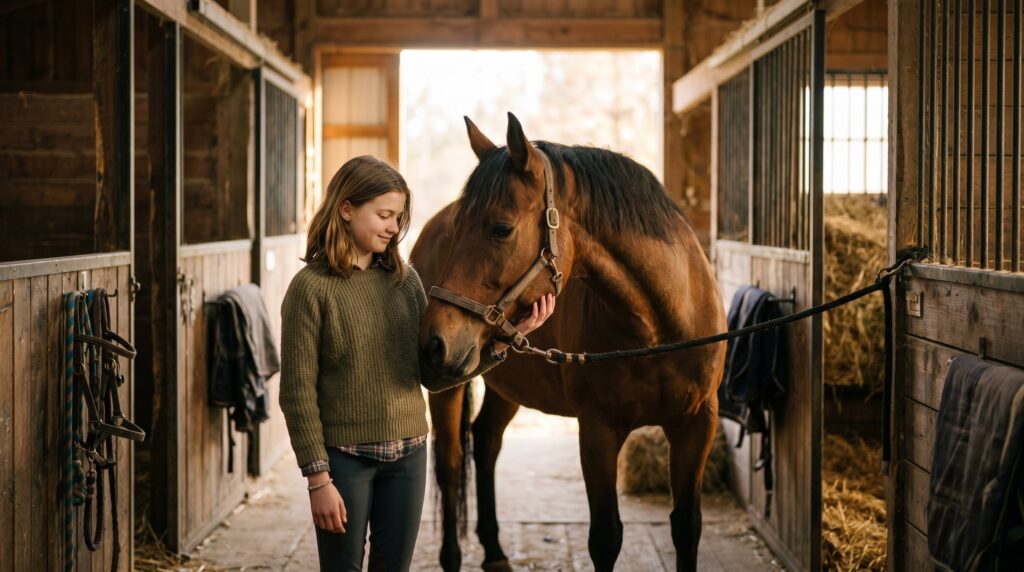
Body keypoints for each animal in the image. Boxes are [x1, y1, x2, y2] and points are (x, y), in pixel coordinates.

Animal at [411, 112, 727, 572]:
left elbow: (687, 527)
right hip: (449, 389)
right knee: (450, 463)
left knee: (485, 443)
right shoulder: (597, 429)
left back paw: (495, 551)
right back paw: (453, 557)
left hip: (505, 381)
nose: (432, 343)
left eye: (501, 229)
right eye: (457, 232)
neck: (657, 327)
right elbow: (606, 537)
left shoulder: (697, 423)